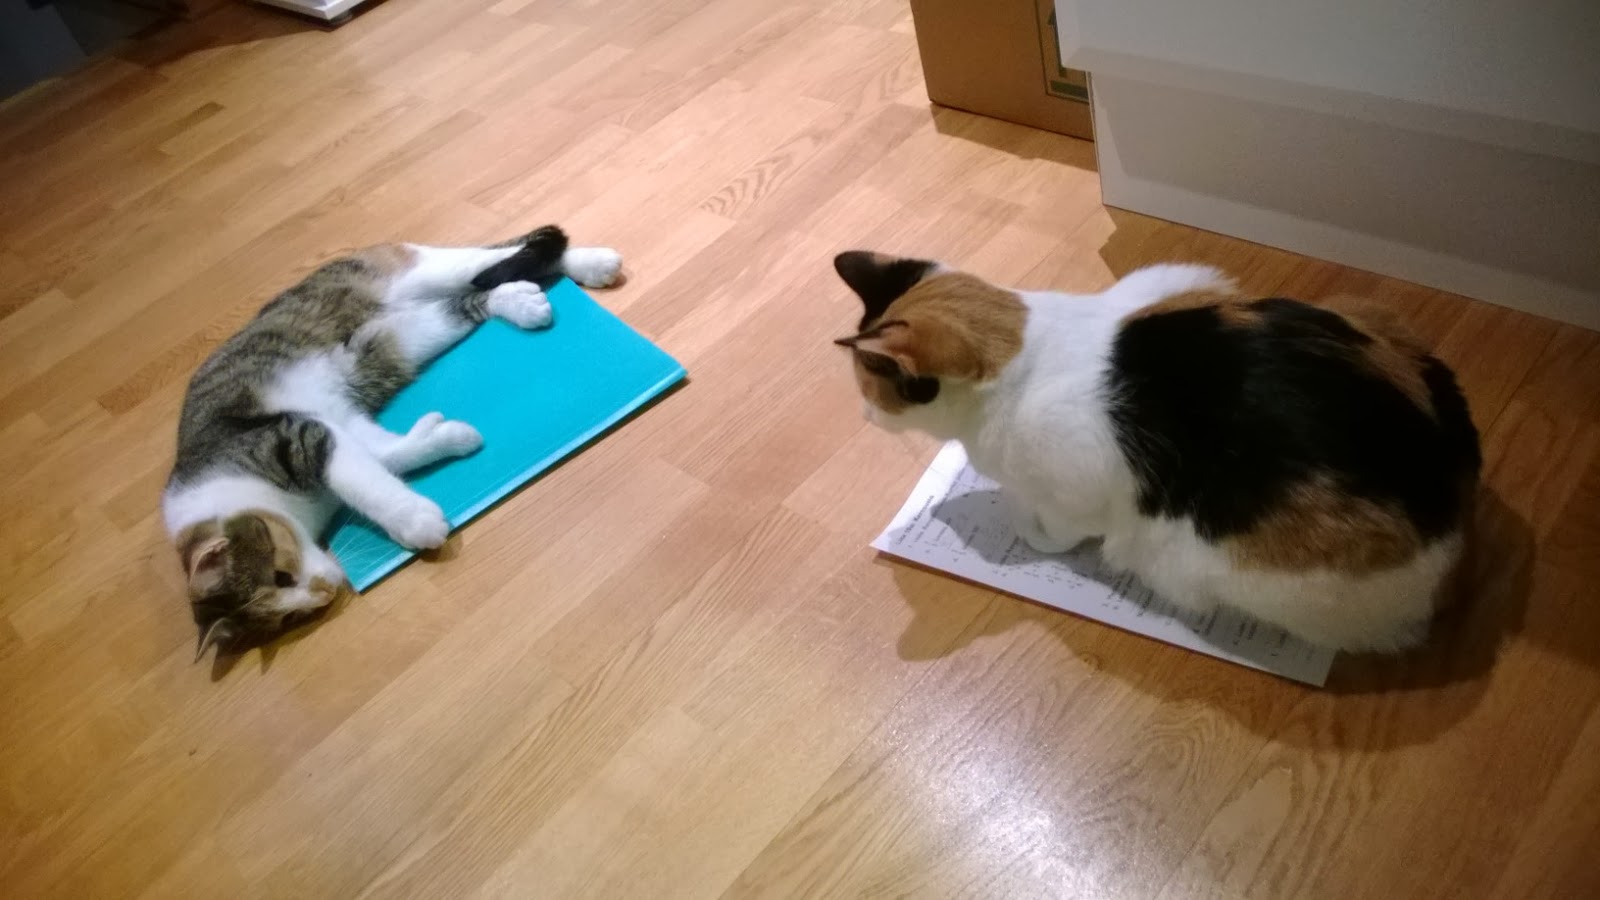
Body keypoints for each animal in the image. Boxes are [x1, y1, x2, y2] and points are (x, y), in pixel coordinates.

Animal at [163, 225, 623, 660]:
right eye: (288, 617)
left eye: (281, 575)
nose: (325, 593)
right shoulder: (341, 424)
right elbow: (390, 455)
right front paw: (446, 434)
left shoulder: (297, 436)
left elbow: (367, 485)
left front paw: (417, 522)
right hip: (400, 336)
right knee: (476, 294)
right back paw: (523, 299)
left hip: (416, 276)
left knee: (496, 254)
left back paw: (592, 264)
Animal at [832, 252, 1481, 653]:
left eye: (870, 389)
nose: (860, 415)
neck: (1025, 350)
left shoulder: (1078, 483)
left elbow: (1058, 530)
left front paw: (1026, 525)